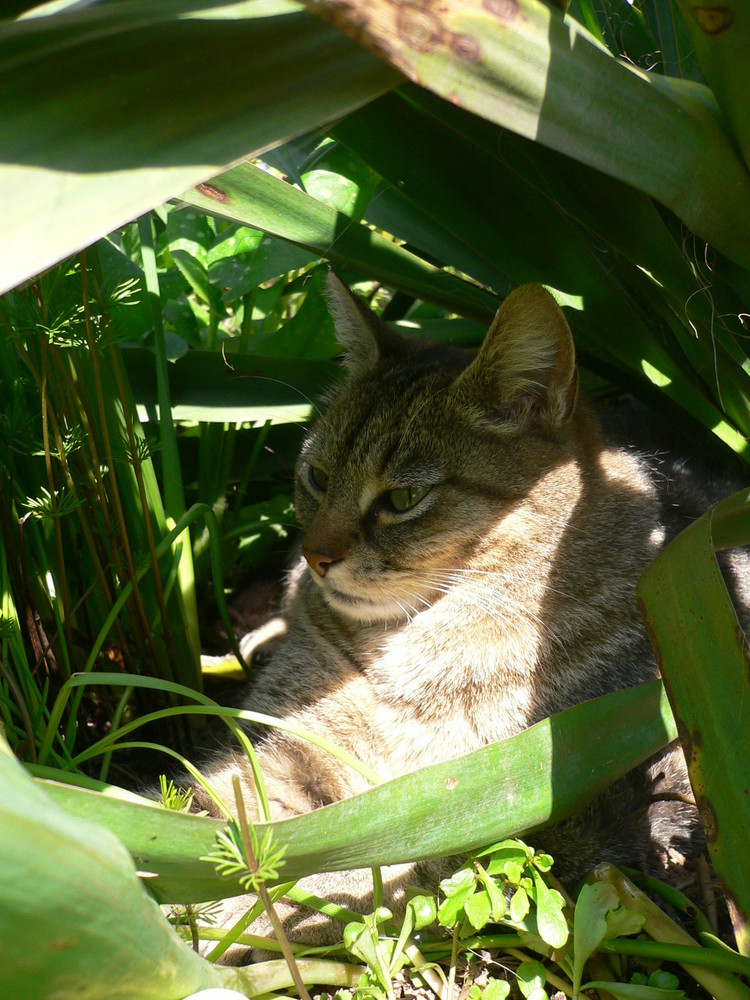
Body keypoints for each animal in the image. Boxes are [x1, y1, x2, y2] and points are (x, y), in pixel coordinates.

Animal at [194, 276, 748, 960]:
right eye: (317, 477)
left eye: (403, 498)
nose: (315, 556)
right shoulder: (288, 751)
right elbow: (236, 817)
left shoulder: (526, 804)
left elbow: (372, 864)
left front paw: (247, 924)